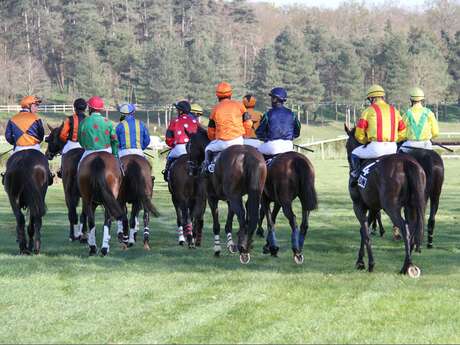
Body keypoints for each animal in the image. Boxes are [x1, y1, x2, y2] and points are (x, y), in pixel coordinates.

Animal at [186, 126, 266, 264]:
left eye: (189, 146)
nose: (191, 170)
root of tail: (247, 155)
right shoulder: (229, 199)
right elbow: (228, 224)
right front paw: (230, 245)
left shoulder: (212, 198)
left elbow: (216, 225)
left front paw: (217, 249)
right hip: (254, 194)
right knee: (252, 217)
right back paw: (247, 245)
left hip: (235, 196)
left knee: (242, 216)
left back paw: (242, 247)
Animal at [346, 125, 426, 276]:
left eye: (347, 145)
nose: (351, 168)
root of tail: (406, 162)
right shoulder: (373, 207)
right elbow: (364, 230)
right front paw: (361, 260)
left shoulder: (358, 206)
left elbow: (364, 232)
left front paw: (367, 263)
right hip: (412, 206)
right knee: (412, 227)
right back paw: (408, 263)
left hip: (391, 207)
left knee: (405, 227)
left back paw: (407, 265)